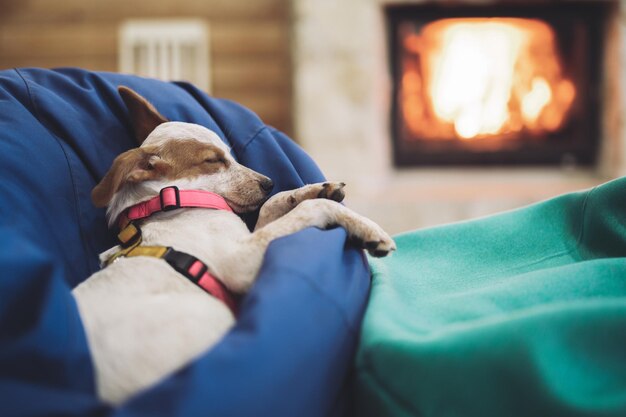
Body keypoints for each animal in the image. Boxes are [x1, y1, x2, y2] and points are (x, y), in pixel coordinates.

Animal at [72, 87, 394, 404]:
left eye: (229, 153)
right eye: (213, 160)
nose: (269, 181)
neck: (172, 202)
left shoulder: (249, 235)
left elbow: (276, 205)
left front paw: (315, 189)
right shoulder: (241, 262)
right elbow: (311, 209)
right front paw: (367, 228)